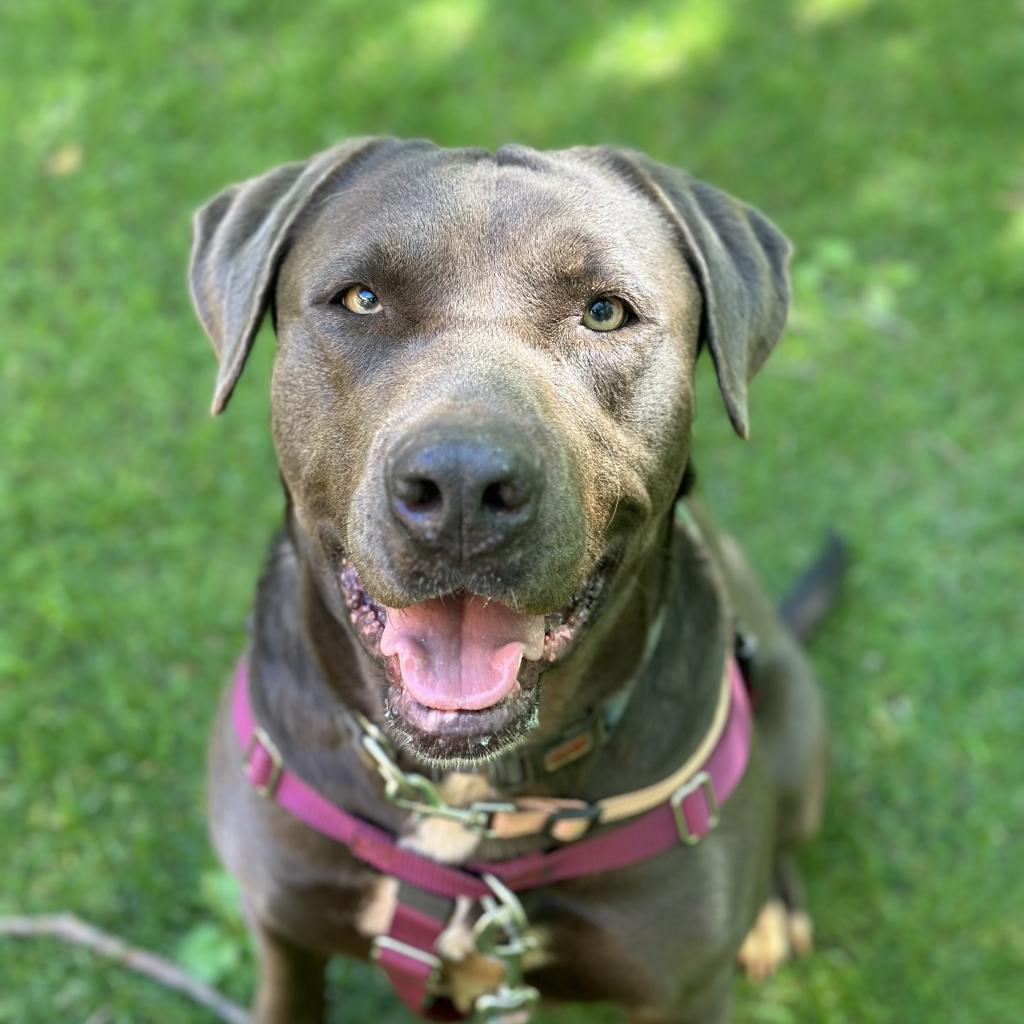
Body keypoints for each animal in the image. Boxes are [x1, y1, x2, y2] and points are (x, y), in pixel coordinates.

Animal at [190, 142, 839, 1024]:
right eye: (361, 299)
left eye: (604, 313)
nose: (463, 487)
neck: (465, 799)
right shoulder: (283, 930)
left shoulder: (684, 989)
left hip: (799, 740)